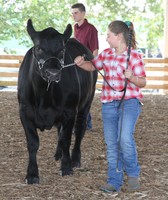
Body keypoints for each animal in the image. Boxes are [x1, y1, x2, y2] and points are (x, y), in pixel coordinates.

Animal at [17, 19, 97, 184]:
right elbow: (33, 143)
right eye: (38, 48)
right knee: (59, 131)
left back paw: (75, 159)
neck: (44, 95)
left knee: (79, 130)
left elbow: (66, 138)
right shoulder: (24, 112)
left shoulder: (70, 111)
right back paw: (58, 154)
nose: (53, 73)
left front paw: (66, 167)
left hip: (86, 104)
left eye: (62, 50)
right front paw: (32, 174)